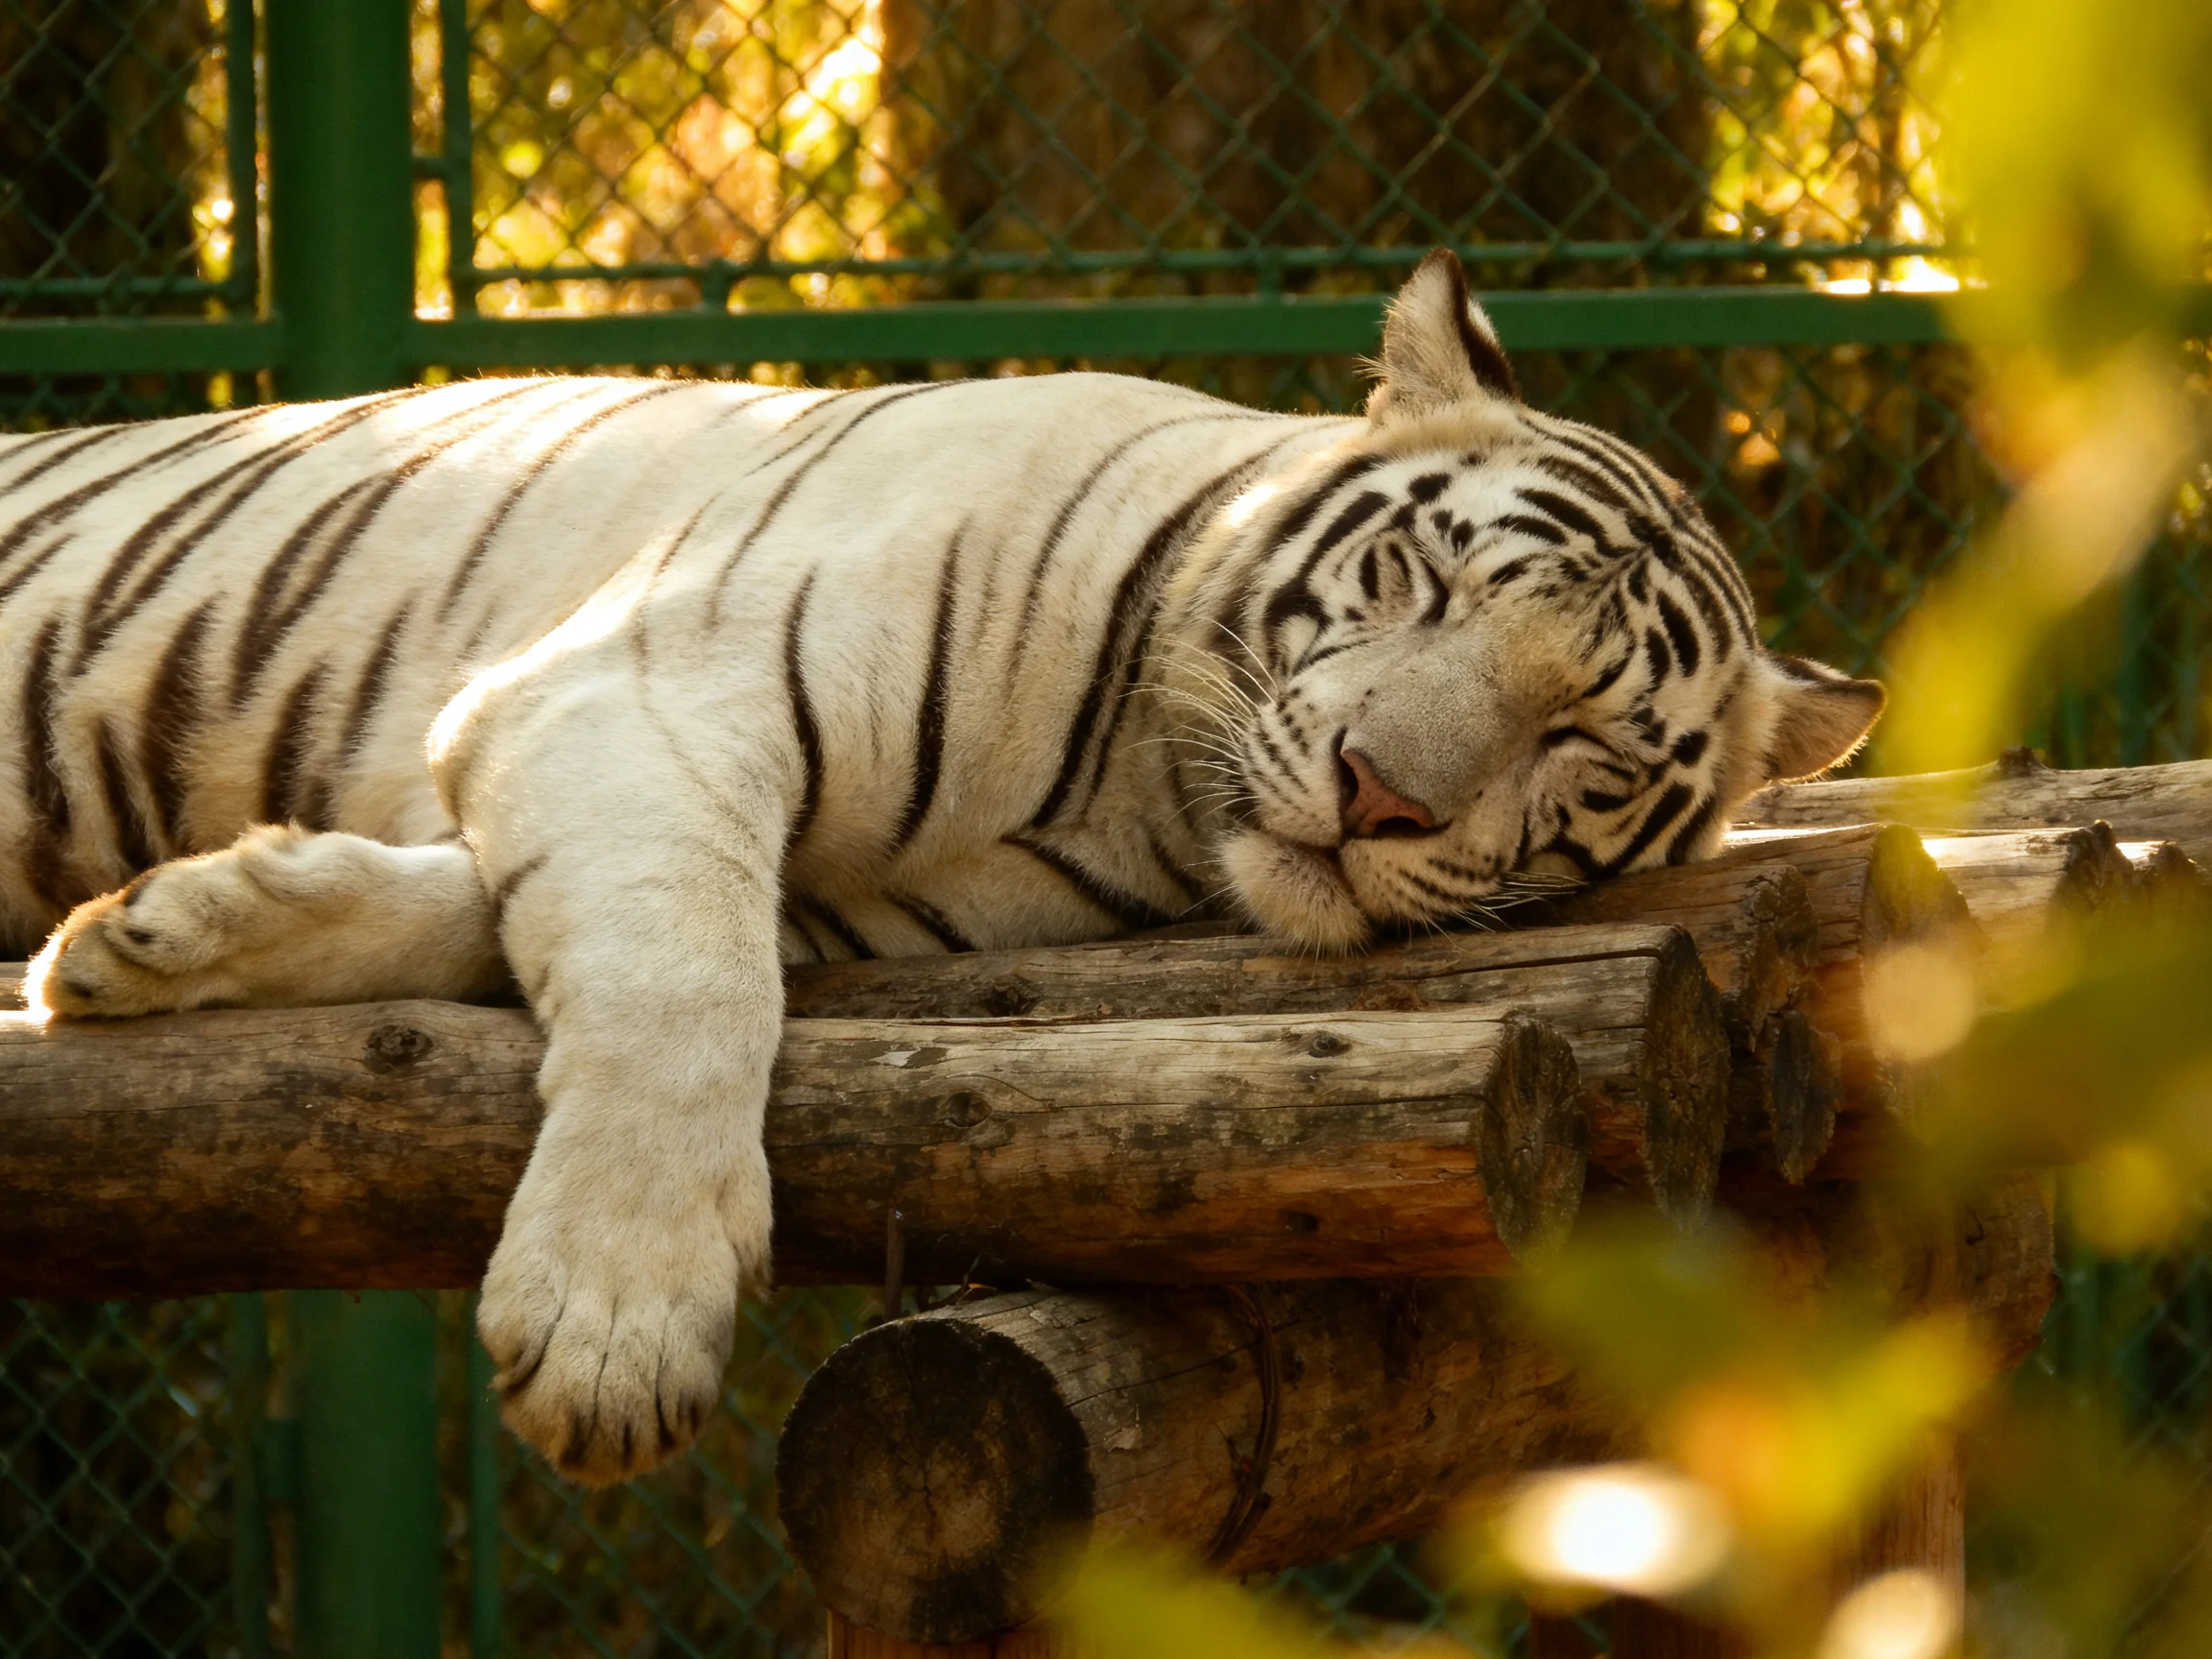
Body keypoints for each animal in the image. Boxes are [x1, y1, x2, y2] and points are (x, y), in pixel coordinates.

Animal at [2, 251, 1881, 1484]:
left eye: (1582, 742)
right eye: (1417, 578)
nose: (1374, 799)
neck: (1134, 782)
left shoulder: (795, 868)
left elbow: (504, 913)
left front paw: (177, 929)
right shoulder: (641, 681)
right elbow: (680, 978)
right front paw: (615, 1325)